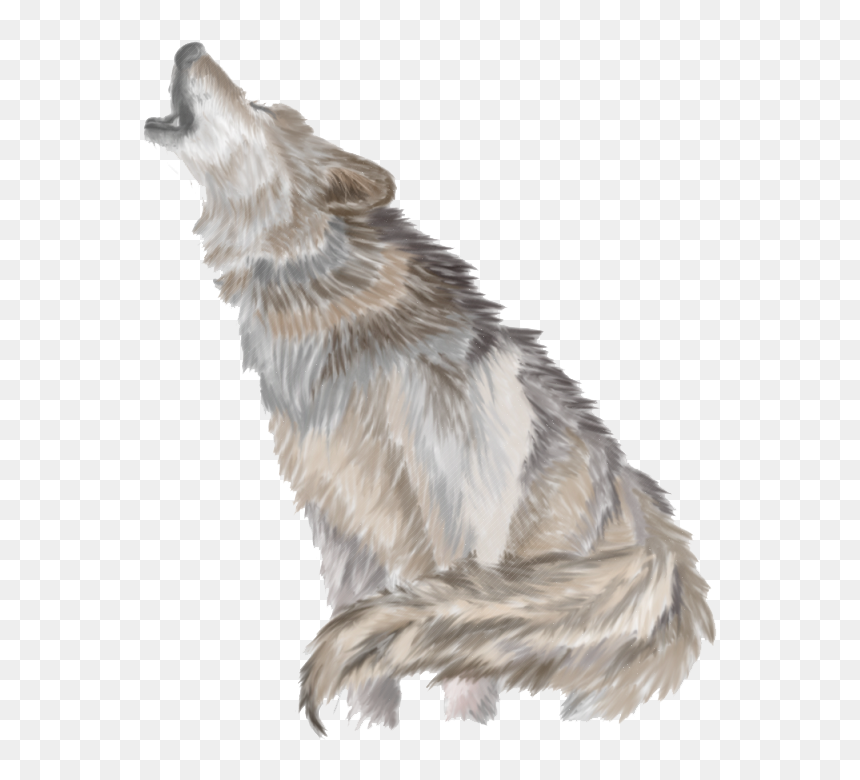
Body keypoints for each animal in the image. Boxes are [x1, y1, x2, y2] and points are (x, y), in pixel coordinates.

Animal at [145, 42, 715, 736]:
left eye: (260, 107)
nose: (189, 49)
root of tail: (667, 556)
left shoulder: (462, 537)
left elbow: (456, 661)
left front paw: (460, 728)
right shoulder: (342, 535)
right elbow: (371, 670)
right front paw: (374, 731)